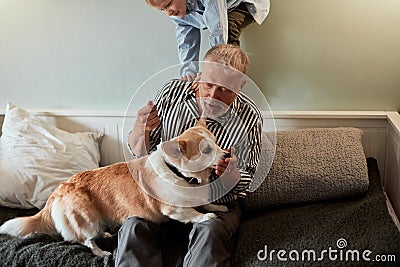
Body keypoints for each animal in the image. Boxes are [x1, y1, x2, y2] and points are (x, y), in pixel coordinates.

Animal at [0, 120, 228, 258]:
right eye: (206, 150)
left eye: (217, 143)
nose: (228, 154)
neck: (180, 174)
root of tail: (59, 190)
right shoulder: (175, 209)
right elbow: (193, 214)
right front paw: (206, 216)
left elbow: (206, 203)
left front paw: (218, 208)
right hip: (86, 220)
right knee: (86, 240)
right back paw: (102, 252)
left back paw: (106, 234)